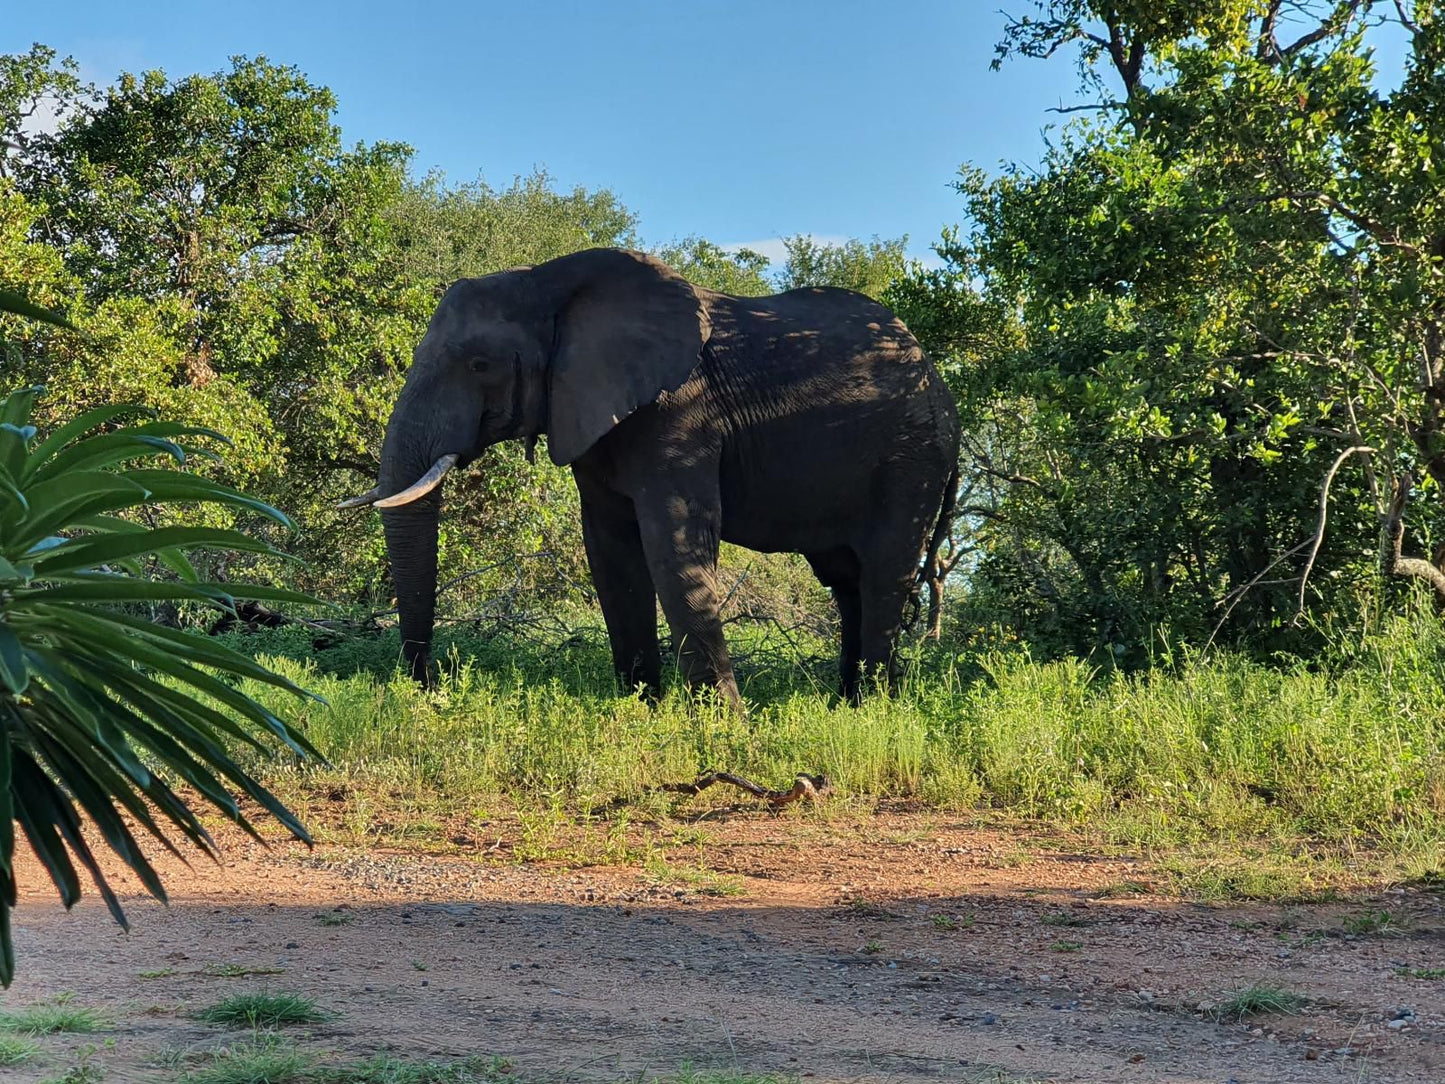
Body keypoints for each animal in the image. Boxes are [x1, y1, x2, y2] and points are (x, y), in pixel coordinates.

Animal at [338, 247, 959, 708]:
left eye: (479, 364)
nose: (428, 685)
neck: (549, 285)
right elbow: (610, 551)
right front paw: (643, 707)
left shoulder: (681, 412)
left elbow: (674, 542)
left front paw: (723, 724)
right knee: (845, 579)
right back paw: (845, 706)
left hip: (913, 458)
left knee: (883, 573)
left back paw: (874, 708)